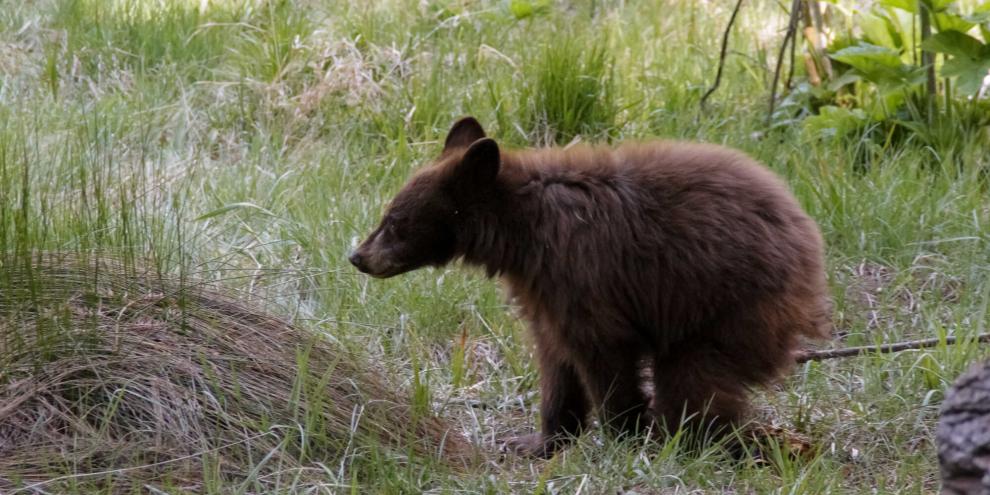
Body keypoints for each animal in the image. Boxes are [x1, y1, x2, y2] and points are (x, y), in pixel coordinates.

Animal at [349, 117, 831, 458]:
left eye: (395, 221)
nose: (358, 256)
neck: (523, 228)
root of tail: (810, 246)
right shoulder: (542, 288)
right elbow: (555, 359)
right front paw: (539, 441)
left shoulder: (580, 271)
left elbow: (601, 350)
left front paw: (624, 437)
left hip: (727, 306)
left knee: (693, 377)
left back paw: (696, 440)